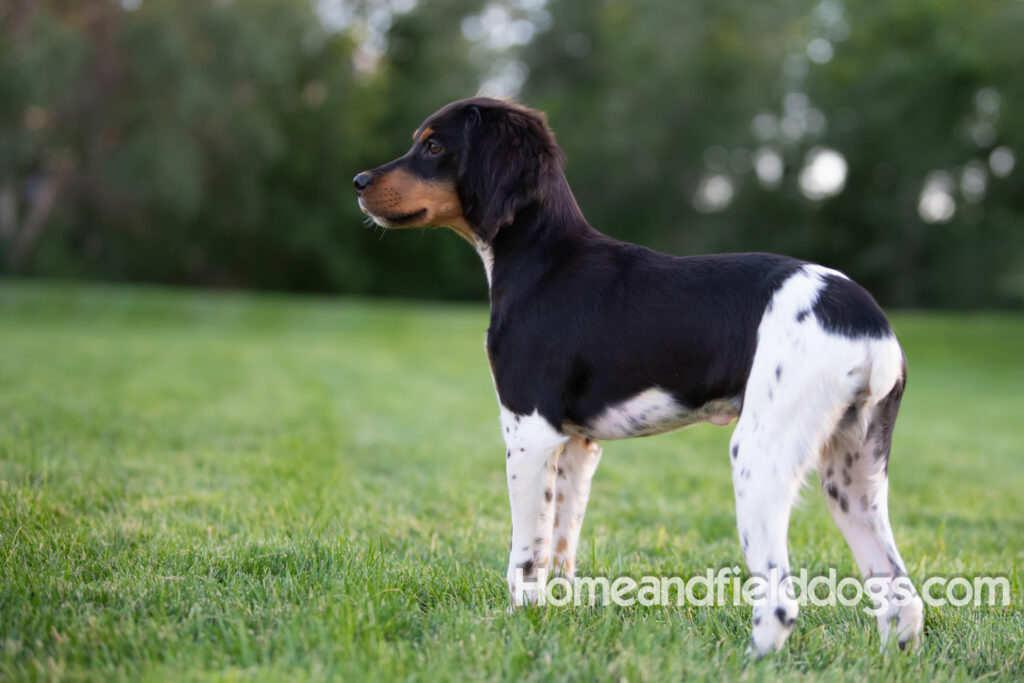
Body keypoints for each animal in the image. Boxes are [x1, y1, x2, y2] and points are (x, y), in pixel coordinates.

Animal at [350, 97, 921, 655]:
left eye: (433, 146)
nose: (357, 181)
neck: (544, 265)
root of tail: (869, 321)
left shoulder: (528, 430)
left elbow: (525, 555)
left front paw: (514, 629)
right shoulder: (576, 445)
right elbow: (561, 549)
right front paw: (551, 627)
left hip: (761, 457)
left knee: (782, 604)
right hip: (853, 476)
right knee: (902, 597)